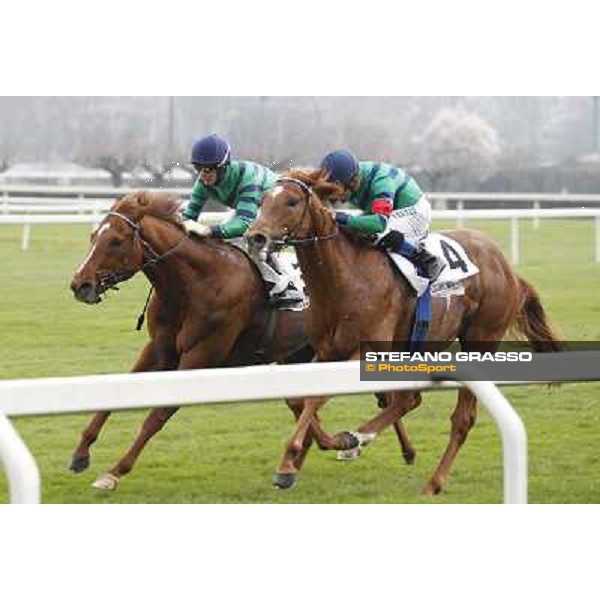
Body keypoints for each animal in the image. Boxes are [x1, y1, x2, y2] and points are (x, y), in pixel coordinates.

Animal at [69, 193, 314, 492]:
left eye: (115, 240)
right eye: (93, 236)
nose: (80, 285)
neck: (193, 283)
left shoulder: (199, 356)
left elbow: (158, 415)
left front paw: (115, 471)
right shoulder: (158, 349)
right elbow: (117, 393)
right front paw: (81, 453)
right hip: (297, 354)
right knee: (301, 404)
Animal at [245, 170, 564, 496]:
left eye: (292, 201)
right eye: (262, 200)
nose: (255, 237)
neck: (345, 278)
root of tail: (508, 269)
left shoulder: (366, 352)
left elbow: (318, 397)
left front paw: (291, 461)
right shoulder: (327, 351)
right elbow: (303, 398)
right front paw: (310, 453)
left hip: (481, 340)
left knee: (460, 418)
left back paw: (430, 481)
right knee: (407, 399)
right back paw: (361, 440)